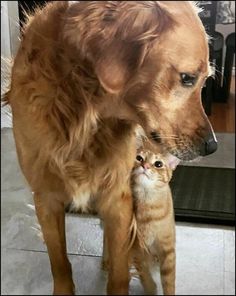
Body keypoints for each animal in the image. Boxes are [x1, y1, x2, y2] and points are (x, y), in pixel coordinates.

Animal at [4, 1, 217, 294]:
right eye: (187, 78)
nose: (212, 146)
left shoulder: (118, 196)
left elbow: (120, 272)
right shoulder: (46, 197)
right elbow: (59, 262)